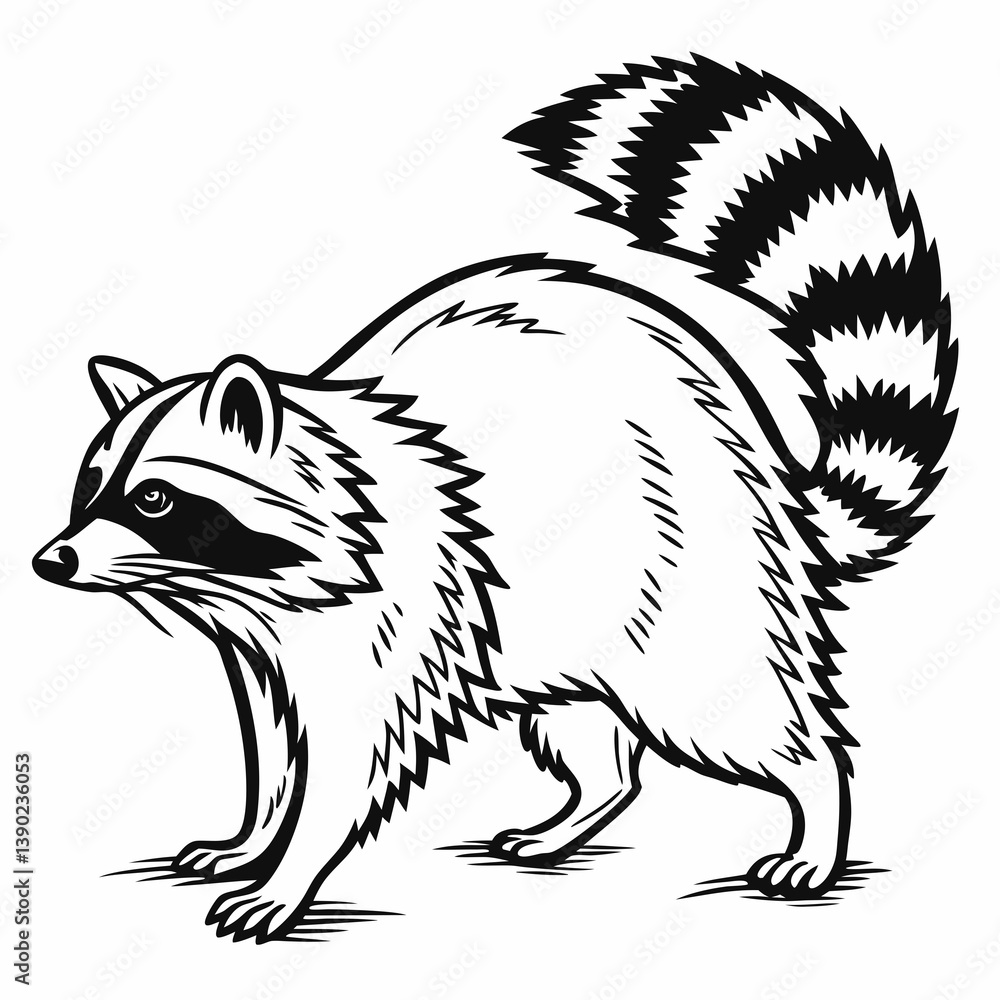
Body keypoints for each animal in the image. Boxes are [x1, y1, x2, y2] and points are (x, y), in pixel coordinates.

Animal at [33, 55, 956, 942]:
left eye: (154, 499)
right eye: (90, 487)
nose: (51, 561)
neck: (261, 578)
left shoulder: (402, 600)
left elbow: (353, 757)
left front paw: (290, 873)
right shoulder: (264, 645)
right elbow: (273, 747)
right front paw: (253, 835)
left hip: (684, 580)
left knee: (739, 710)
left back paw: (818, 809)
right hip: (568, 627)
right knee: (595, 737)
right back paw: (576, 814)